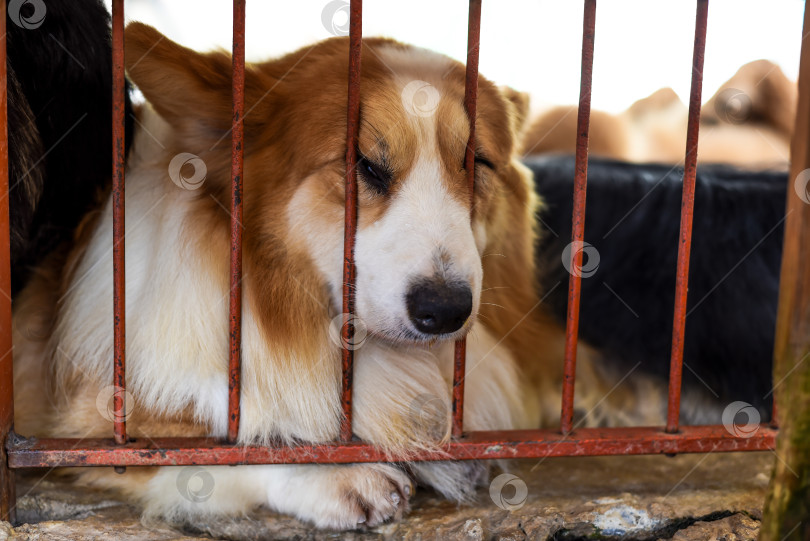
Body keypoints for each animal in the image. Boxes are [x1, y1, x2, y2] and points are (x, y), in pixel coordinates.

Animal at [12, 24, 620, 528]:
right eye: (364, 166)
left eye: (479, 166)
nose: (446, 310)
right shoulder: (81, 423)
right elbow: (214, 449)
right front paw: (334, 474)